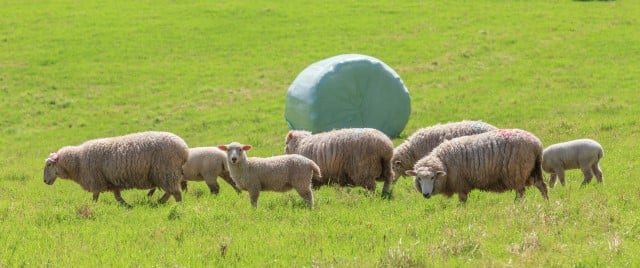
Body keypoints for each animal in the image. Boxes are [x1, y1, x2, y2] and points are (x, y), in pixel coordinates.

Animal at [43, 131, 185, 206]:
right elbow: (118, 197)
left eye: (49, 164)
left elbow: (95, 196)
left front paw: (93, 206)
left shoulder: (96, 180)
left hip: (166, 171)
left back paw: (178, 207)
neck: (78, 161)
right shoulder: (112, 182)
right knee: (170, 191)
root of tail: (183, 148)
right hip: (165, 173)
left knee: (176, 192)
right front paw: (127, 206)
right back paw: (160, 202)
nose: (44, 181)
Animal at [404, 129, 552, 202]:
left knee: (521, 193)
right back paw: (546, 203)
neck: (444, 163)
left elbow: (462, 202)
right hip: (533, 170)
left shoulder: (461, 184)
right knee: (542, 186)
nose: (426, 194)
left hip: (517, 172)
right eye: (419, 178)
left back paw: (519, 205)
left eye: (433, 178)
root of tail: (536, 144)